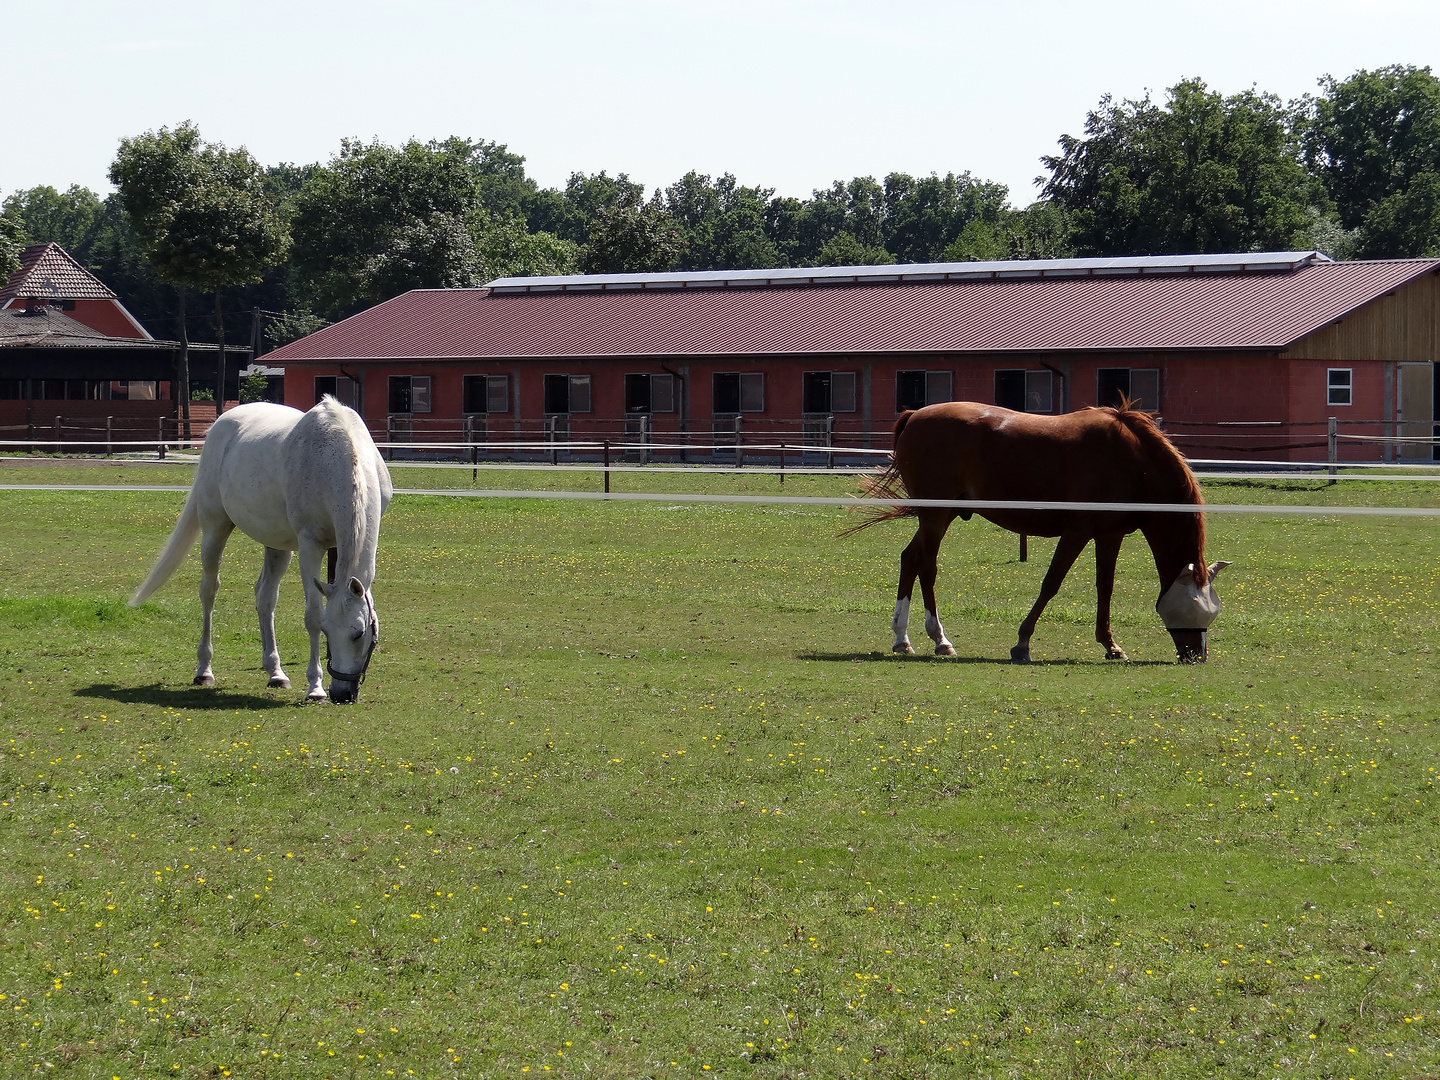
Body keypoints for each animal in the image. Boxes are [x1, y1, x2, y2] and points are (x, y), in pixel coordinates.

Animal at [130, 394, 394, 702]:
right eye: (328, 631)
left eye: (359, 633)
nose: (341, 693)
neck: (336, 456)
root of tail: (221, 424)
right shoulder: (310, 545)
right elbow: (312, 614)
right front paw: (315, 688)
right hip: (215, 529)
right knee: (209, 591)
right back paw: (204, 670)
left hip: (277, 544)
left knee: (265, 597)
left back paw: (275, 673)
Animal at [846, 403, 1232, 665]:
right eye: (1195, 609)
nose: (1196, 654)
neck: (1132, 460)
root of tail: (914, 416)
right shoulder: (1077, 532)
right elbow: (1051, 583)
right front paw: (1022, 643)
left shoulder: (1110, 535)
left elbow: (1105, 587)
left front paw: (1110, 645)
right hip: (935, 515)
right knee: (926, 566)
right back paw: (940, 639)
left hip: (939, 516)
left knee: (910, 559)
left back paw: (902, 638)